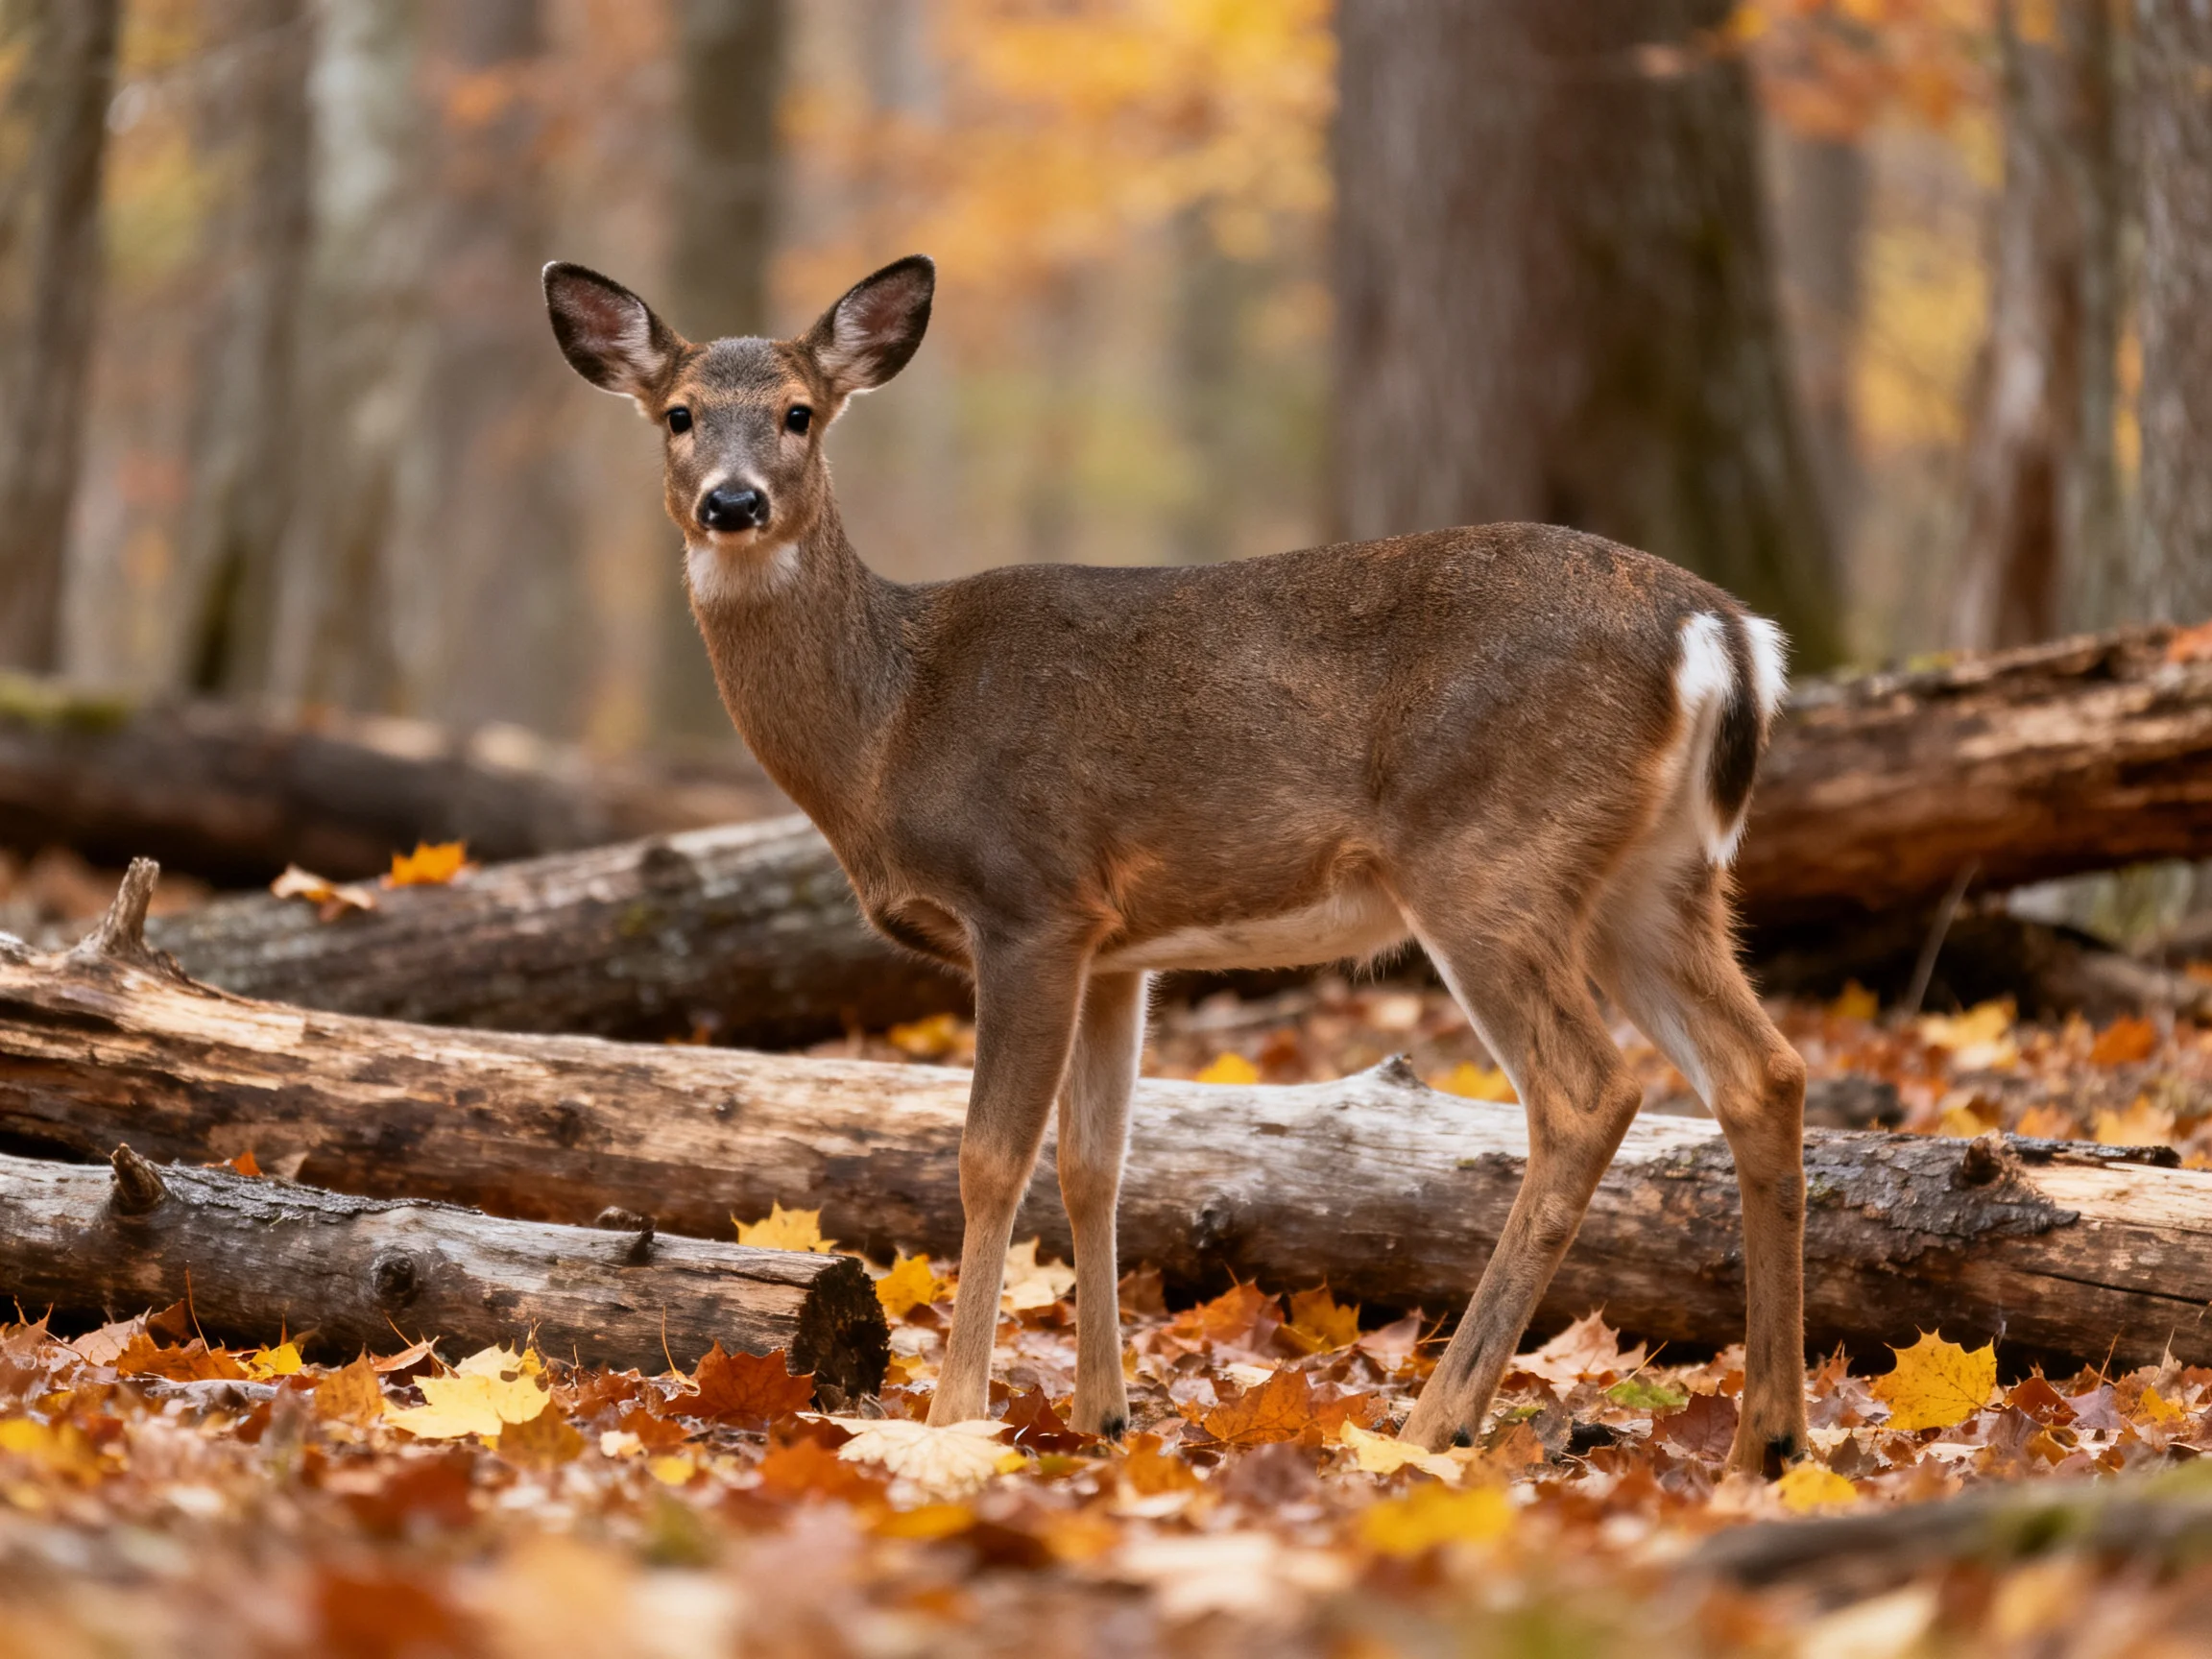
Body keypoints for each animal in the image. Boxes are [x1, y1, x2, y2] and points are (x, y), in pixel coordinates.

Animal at [543, 253, 1810, 1474]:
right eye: (679, 414)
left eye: (800, 413)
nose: (734, 501)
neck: (886, 726)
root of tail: (1725, 633)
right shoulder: (1117, 950)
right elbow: (1095, 1164)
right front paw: (1100, 1417)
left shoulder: (1030, 900)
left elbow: (989, 1158)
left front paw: (953, 1417)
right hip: (1657, 877)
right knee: (1765, 1072)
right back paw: (1769, 1439)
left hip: (1490, 856)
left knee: (1589, 1092)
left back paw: (1431, 1425)